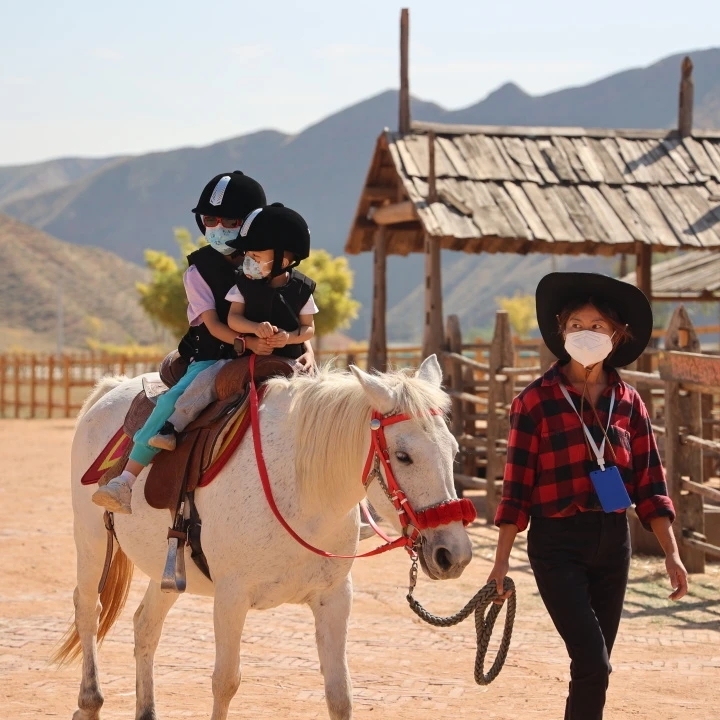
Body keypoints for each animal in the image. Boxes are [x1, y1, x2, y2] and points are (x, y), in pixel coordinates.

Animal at [56, 355, 474, 720]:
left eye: (455, 451)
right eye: (403, 456)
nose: (454, 553)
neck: (302, 492)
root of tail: (109, 390)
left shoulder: (335, 597)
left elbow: (340, 694)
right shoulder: (231, 598)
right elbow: (225, 683)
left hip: (168, 568)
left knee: (145, 626)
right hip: (90, 540)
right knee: (88, 610)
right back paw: (89, 701)